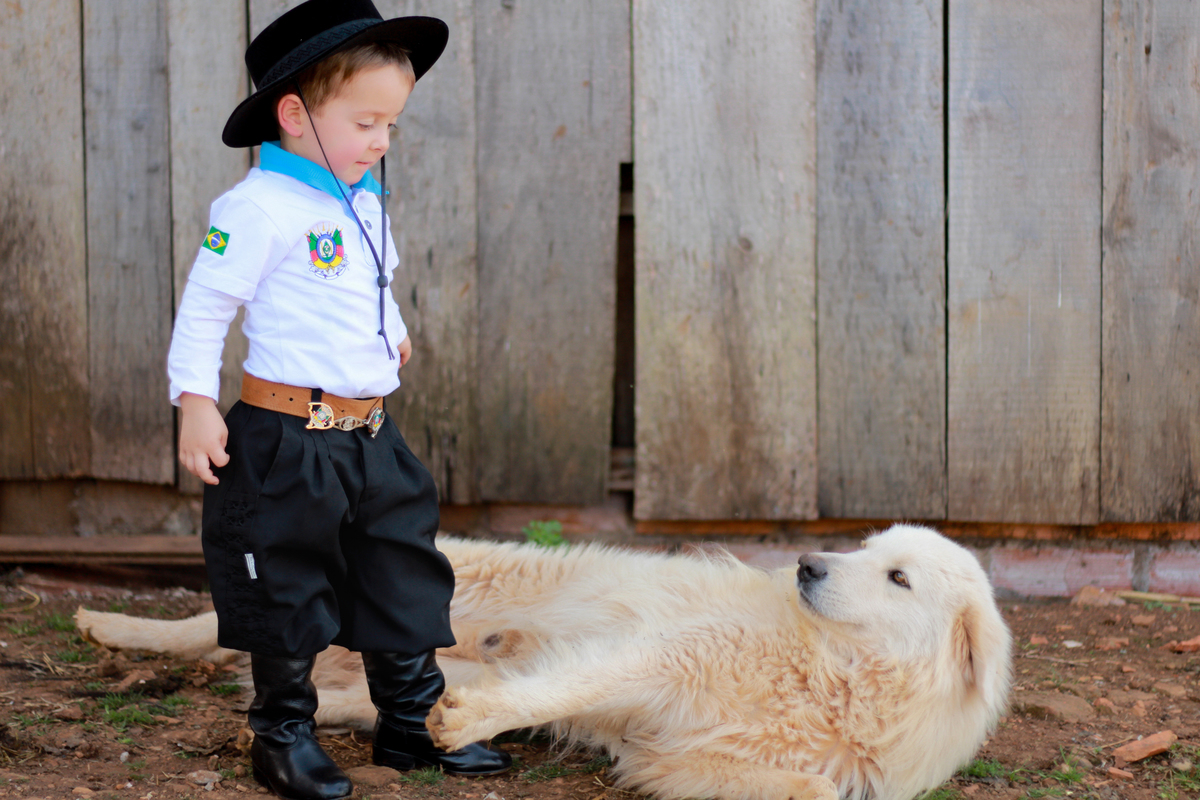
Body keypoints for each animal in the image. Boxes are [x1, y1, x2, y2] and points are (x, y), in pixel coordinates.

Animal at [77, 524, 1011, 800]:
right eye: (864, 550)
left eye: (896, 576)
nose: (808, 566)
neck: (833, 678)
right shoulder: (657, 654)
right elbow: (570, 683)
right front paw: (480, 720)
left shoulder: (688, 756)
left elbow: (811, 789)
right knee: (214, 624)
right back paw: (110, 626)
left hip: (371, 678)